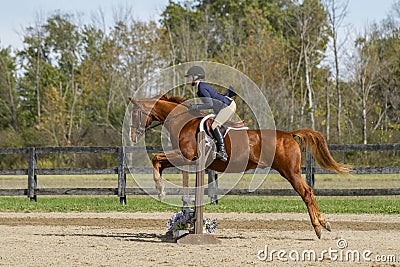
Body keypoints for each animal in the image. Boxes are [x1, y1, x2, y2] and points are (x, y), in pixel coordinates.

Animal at [128, 94, 350, 239]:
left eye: (136, 113)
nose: (132, 137)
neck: (183, 122)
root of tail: (289, 134)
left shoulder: (186, 156)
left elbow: (155, 158)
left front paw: (160, 190)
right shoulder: (185, 159)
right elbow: (159, 162)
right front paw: (162, 191)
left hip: (290, 172)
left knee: (307, 193)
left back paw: (319, 227)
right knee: (308, 193)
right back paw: (323, 224)